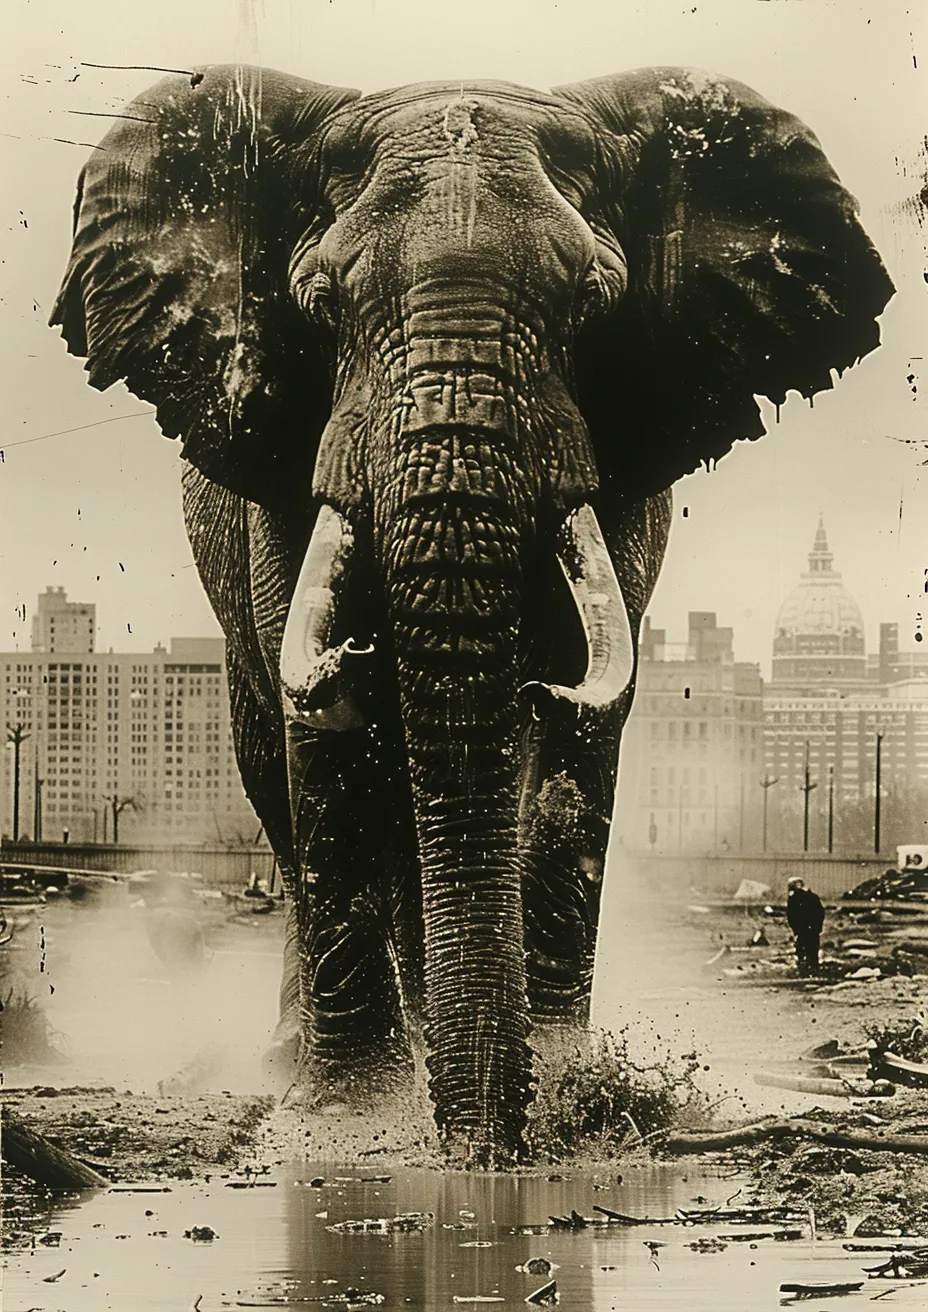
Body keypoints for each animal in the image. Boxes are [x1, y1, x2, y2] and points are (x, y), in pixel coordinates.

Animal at [51, 64, 892, 1166]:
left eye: (595, 301)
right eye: (319, 302)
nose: (487, 1157)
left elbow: (583, 736)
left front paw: (574, 1093)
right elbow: (324, 747)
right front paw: (345, 1125)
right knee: (278, 787)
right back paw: (299, 1061)